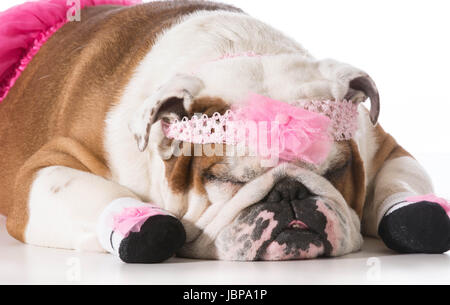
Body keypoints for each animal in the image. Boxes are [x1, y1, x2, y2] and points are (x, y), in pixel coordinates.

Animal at [0, 0, 448, 262]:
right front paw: (145, 226)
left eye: (336, 171)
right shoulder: (42, 175)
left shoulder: (383, 147)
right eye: (224, 179)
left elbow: (399, 181)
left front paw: (417, 215)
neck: (244, 53)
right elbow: (100, 193)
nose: (289, 193)